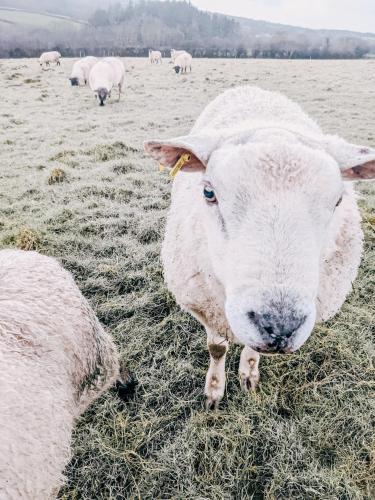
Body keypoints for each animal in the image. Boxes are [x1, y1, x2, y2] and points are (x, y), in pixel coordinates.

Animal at [145, 86, 375, 408]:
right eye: (208, 192)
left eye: (338, 200)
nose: (280, 327)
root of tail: (252, 88)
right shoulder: (206, 307)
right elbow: (216, 348)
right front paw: (214, 389)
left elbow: (253, 350)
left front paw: (249, 373)